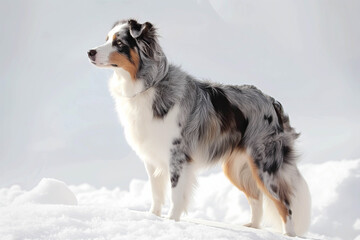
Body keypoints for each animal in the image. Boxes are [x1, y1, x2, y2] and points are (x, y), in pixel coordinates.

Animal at [88, 19, 310, 236]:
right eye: (106, 39)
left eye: (119, 43)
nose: (90, 52)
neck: (150, 84)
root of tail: (271, 101)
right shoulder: (152, 158)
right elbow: (156, 193)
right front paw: (153, 218)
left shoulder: (177, 156)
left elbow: (176, 194)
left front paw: (171, 222)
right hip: (236, 168)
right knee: (256, 197)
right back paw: (252, 227)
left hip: (265, 165)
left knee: (285, 203)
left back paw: (287, 234)